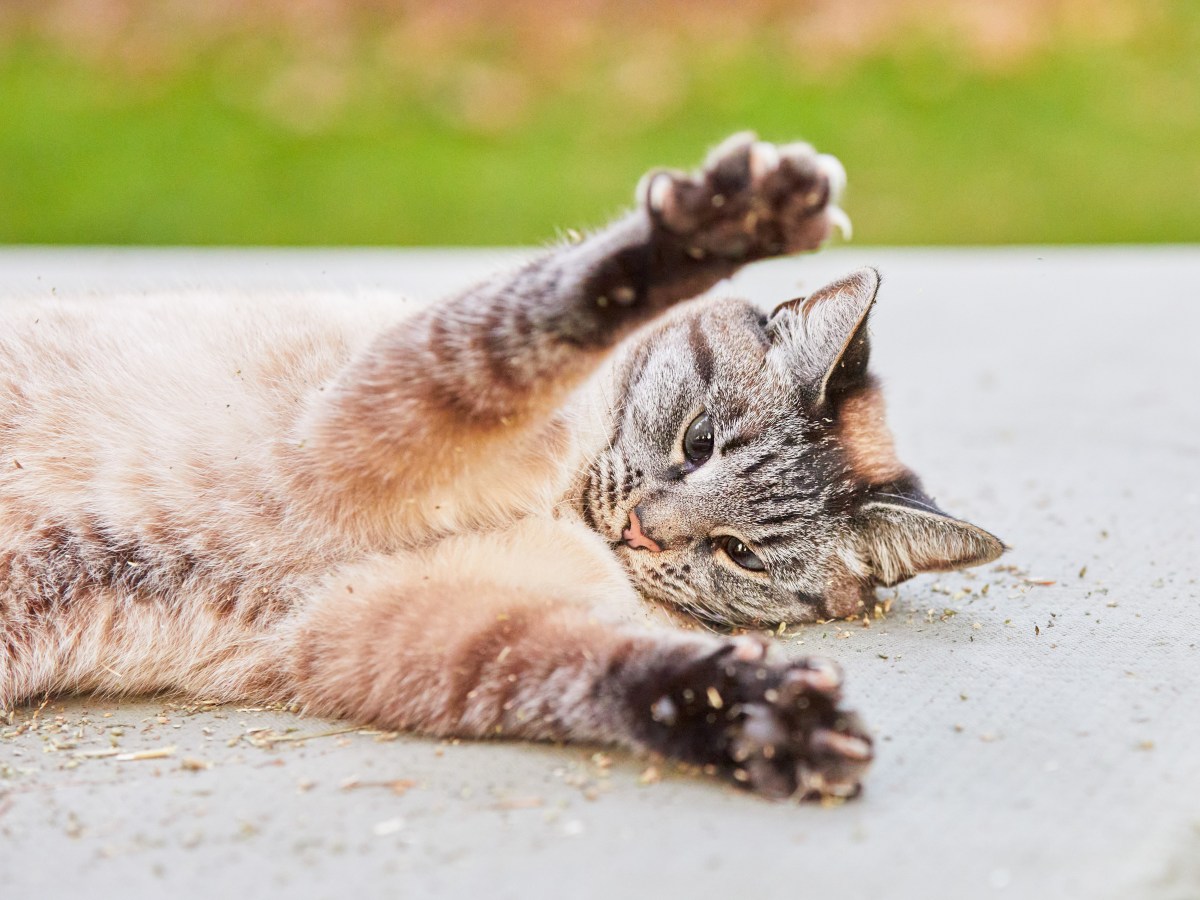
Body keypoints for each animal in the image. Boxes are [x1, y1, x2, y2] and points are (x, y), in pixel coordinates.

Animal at [0, 135, 1003, 801]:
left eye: (740, 555)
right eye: (697, 443)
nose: (640, 532)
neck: (562, 505)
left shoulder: (404, 623)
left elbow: (607, 673)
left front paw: (760, 724)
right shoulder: (366, 430)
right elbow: (552, 310)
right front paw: (729, 223)